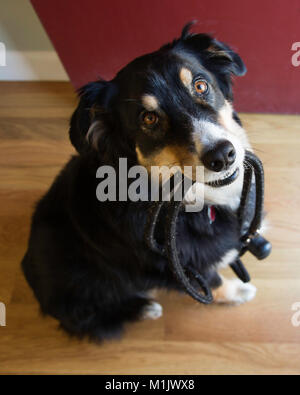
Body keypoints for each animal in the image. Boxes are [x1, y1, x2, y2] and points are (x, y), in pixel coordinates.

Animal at [22, 23, 258, 342]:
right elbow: (213, 280)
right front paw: (238, 291)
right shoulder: (177, 265)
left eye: (200, 86)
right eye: (148, 118)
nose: (222, 155)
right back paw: (145, 308)